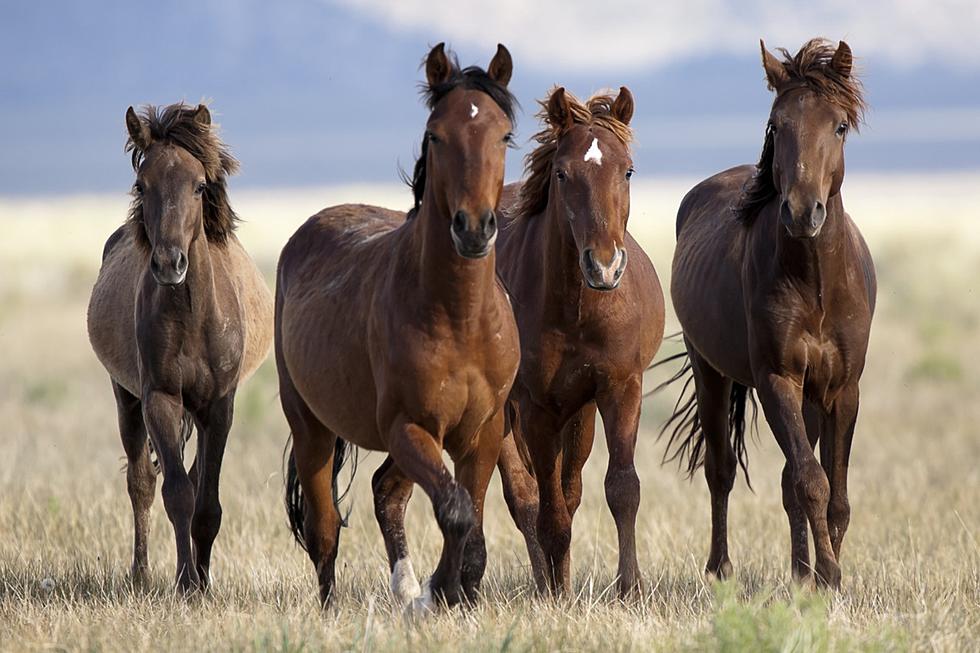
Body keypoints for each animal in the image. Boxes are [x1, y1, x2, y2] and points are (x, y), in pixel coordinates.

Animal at [88, 102, 274, 592]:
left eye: (199, 185)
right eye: (142, 184)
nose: (170, 264)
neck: (192, 316)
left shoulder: (219, 406)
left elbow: (206, 502)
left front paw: (202, 582)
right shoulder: (160, 398)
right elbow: (176, 494)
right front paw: (187, 584)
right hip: (125, 398)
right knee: (141, 483)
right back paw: (141, 575)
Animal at [276, 43, 520, 608]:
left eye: (504, 135)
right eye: (436, 134)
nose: (473, 229)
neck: (460, 320)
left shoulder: (483, 431)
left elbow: (471, 519)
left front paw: (453, 592)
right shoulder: (410, 426)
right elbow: (456, 510)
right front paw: (440, 591)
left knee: (387, 493)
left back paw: (406, 590)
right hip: (311, 428)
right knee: (325, 528)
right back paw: (337, 606)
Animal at [490, 86, 668, 596]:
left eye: (627, 170)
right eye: (562, 173)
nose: (604, 266)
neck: (577, 310)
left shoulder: (619, 388)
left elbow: (622, 489)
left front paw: (630, 588)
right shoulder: (535, 408)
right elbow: (547, 512)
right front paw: (555, 596)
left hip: (580, 413)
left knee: (568, 493)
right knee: (527, 498)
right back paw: (547, 585)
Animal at [664, 39, 876, 592]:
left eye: (839, 125)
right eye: (776, 125)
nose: (803, 212)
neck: (816, 284)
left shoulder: (842, 390)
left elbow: (834, 494)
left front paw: (825, 575)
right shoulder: (777, 379)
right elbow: (811, 481)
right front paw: (829, 575)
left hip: (809, 396)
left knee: (783, 481)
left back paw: (799, 573)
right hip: (711, 372)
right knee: (720, 471)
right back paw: (721, 569)